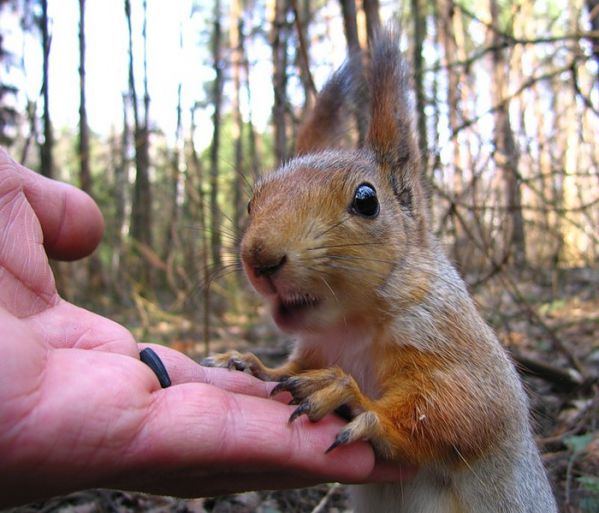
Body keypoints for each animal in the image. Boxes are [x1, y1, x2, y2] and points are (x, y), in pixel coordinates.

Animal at [203, 29, 556, 512]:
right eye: (252, 201)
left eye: (367, 200)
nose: (260, 258)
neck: (348, 327)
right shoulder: (315, 348)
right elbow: (288, 368)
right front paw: (251, 364)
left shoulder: (452, 344)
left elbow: (463, 411)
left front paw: (349, 397)